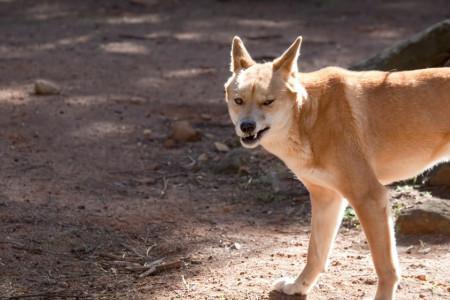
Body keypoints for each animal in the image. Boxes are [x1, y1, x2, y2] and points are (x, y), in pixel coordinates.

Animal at [224, 36, 450, 298]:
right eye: (238, 101)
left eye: (268, 102)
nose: (246, 126)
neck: (309, 116)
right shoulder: (327, 198)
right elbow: (315, 254)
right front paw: (298, 287)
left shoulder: (369, 196)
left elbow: (386, 268)